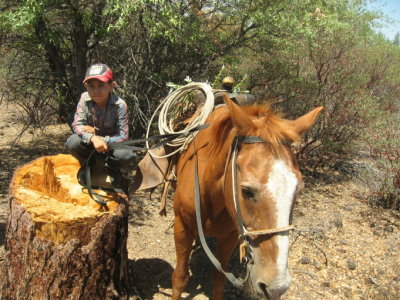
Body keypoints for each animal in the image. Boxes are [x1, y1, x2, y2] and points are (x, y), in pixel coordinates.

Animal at [171, 94, 322, 300]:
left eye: (298, 190)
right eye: (247, 191)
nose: (276, 287)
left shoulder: (230, 236)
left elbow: (219, 278)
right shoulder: (183, 228)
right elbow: (180, 277)